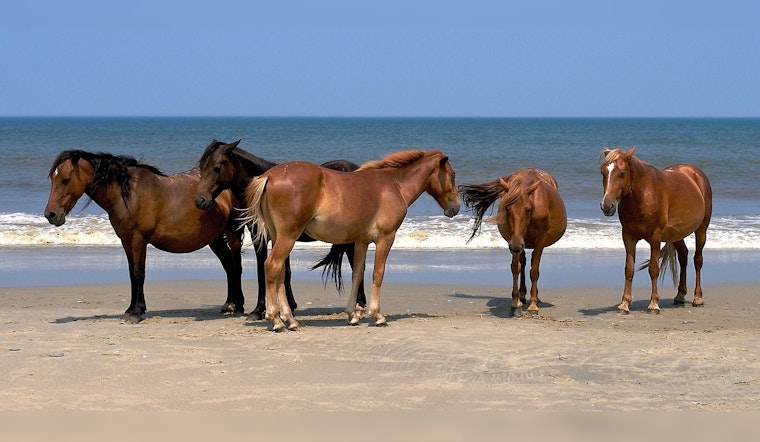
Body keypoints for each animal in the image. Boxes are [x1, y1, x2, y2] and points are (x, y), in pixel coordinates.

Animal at [44, 150, 245, 323]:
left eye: (65, 179)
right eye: (53, 178)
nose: (50, 215)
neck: (129, 195)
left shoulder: (139, 240)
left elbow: (139, 274)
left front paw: (137, 312)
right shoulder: (126, 241)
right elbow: (131, 274)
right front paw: (130, 309)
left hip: (233, 233)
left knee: (236, 266)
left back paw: (239, 306)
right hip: (215, 238)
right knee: (228, 266)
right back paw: (229, 304)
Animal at [193, 139, 367, 319]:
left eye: (217, 167)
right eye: (201, 167)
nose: (200, 200)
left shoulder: (263, 239)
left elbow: (262, 271)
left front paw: (259, 310)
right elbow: (285, 272)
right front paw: (289, 306)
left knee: (358, 267)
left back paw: (360, 305)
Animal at [243, 149, 460, 331]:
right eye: (453, 175)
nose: (455, 208)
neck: (394, 185)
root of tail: (270, 176)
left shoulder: (361, 241)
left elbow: (357, 274)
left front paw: (352, 315)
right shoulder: (385, 238)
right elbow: (378, 273)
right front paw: (377, 315)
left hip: (278, 236)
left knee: (279, 273)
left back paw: (290, 320)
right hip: (288, 236)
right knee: (272, 266)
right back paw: (276, 319)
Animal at [460, 168, 567, 315]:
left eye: (528, 209)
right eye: (507, 208)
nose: (516, 246)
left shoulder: (539, 240)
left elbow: (534, 271)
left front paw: (533, 305)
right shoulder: (514, 240)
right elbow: (516, 268)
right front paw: (515, 302)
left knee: (532, 263)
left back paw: (535, 296)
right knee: (523, 262)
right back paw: (522, 294)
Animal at [599, 146, 712, 313]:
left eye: (622, 173)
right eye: (603, 172)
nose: (607, 206)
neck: (643, 195)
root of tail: (696, 173)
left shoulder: (655, 237)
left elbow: (653, 269)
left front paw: (653, 304)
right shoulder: (628, 236)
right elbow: (629, 269)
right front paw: (625, 303)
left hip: (701, 230)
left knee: (697, 260)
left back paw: (697, 298)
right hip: (677, 235)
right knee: (683, 256)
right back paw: (680, 295)